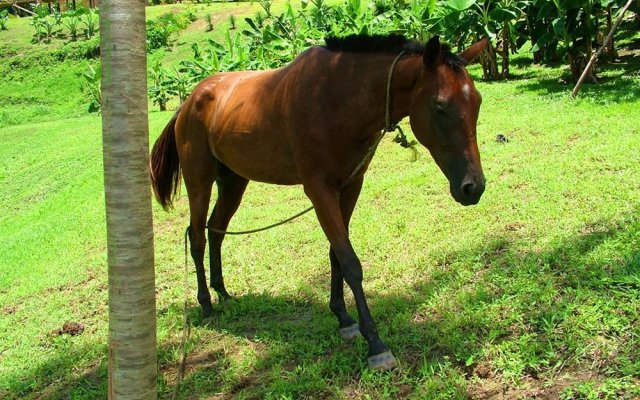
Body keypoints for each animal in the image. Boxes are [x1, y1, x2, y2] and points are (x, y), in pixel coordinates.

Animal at [152, 35, 488, 372]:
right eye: (440, 105)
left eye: (478, 101)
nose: (473, 187)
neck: (338, 98)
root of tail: (189, 100)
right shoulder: (319, 191)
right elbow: (350, 262)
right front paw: (375, 344)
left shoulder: (350, 186)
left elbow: (336, 255)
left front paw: (343, 318)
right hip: (199, 180)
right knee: (197, 235)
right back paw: (206, 304)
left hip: (234, 182)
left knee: (216, 230)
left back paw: (222, 292)